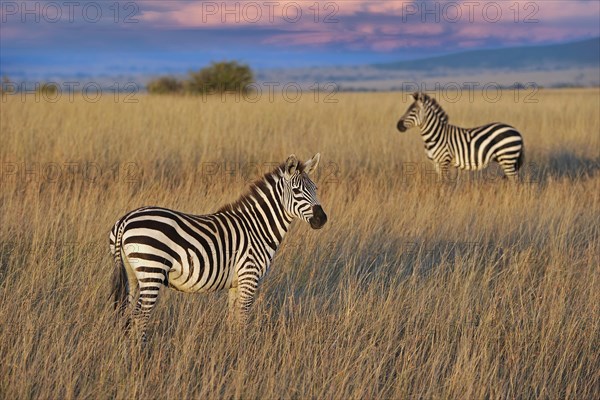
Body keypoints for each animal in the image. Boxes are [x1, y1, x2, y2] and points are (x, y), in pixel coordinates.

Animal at [112, 155, 328, 340]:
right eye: (297, 191)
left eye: (315, 188)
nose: (322, 219)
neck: (257, 227)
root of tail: (125, 220)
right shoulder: (249, 277)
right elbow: (242, 318)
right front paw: (242, 351)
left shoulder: (236, 283)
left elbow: (232, 319)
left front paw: (231, 347)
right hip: (152, 271)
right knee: (140, 316)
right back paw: (140, 352)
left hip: (133, 274)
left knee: (127, 313)